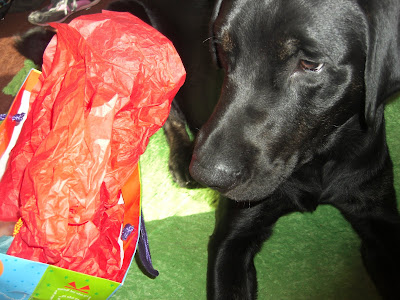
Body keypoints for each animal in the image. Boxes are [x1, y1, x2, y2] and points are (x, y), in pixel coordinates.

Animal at [13, 0, 400, 298]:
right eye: (223, 51)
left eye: (310, 65)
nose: (208, 174)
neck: (315, 161)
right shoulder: (232, 240)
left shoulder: (378, 213)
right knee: (165, 112)